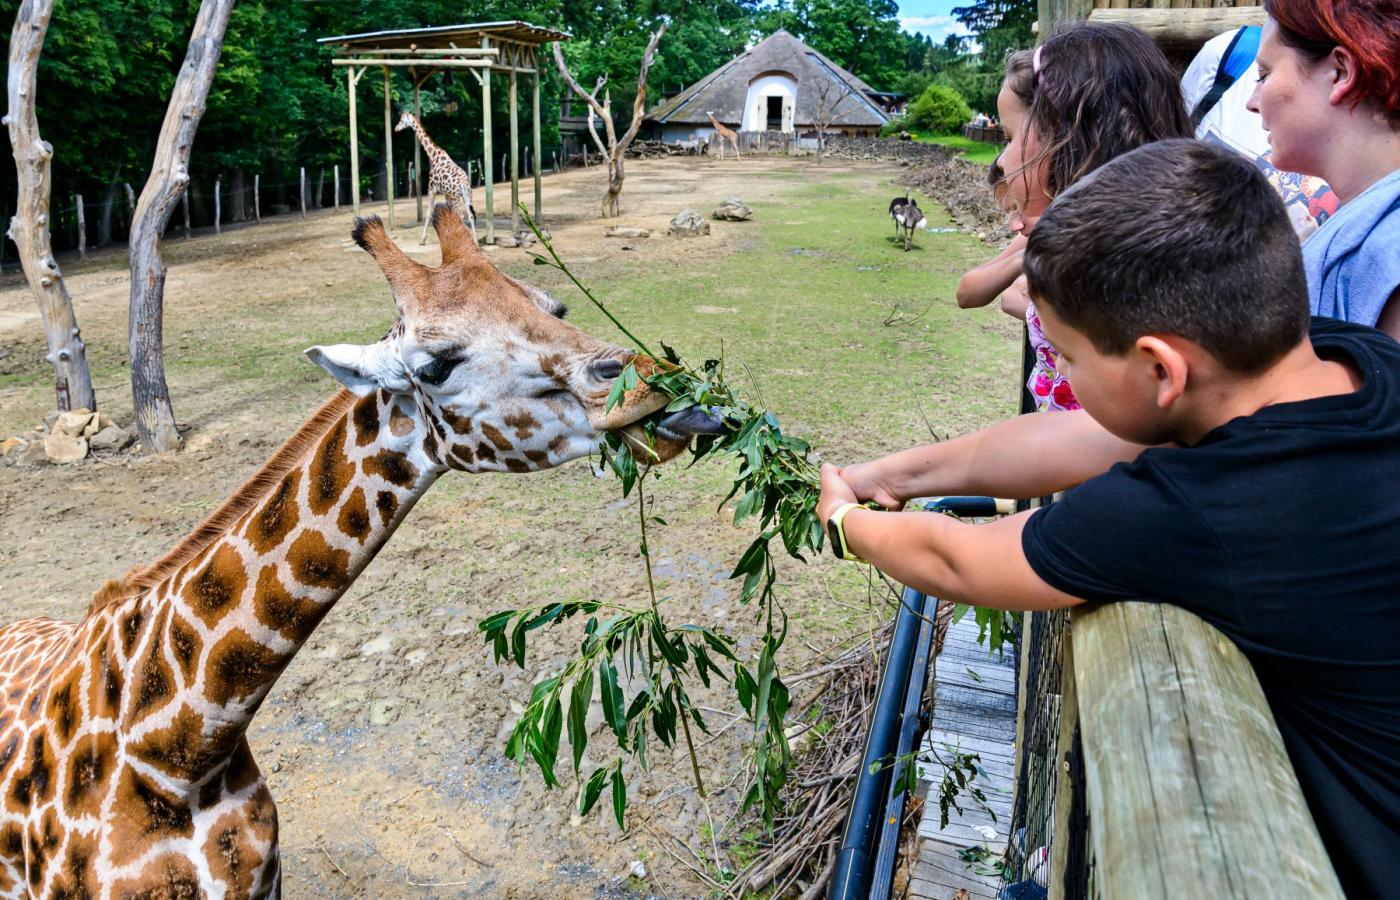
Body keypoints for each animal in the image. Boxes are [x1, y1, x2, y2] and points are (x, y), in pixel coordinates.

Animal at [397, 111, 478, 246]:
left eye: (402, 121)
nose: (396, 128)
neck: (434, 155)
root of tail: (463, 183)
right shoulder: (446, 194)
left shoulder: (431, 189)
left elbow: (429, 212)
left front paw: (422, 240)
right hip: (467, 196)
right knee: (470, 216)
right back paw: (475, 243)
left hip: (455, 197)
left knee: (461, 217)